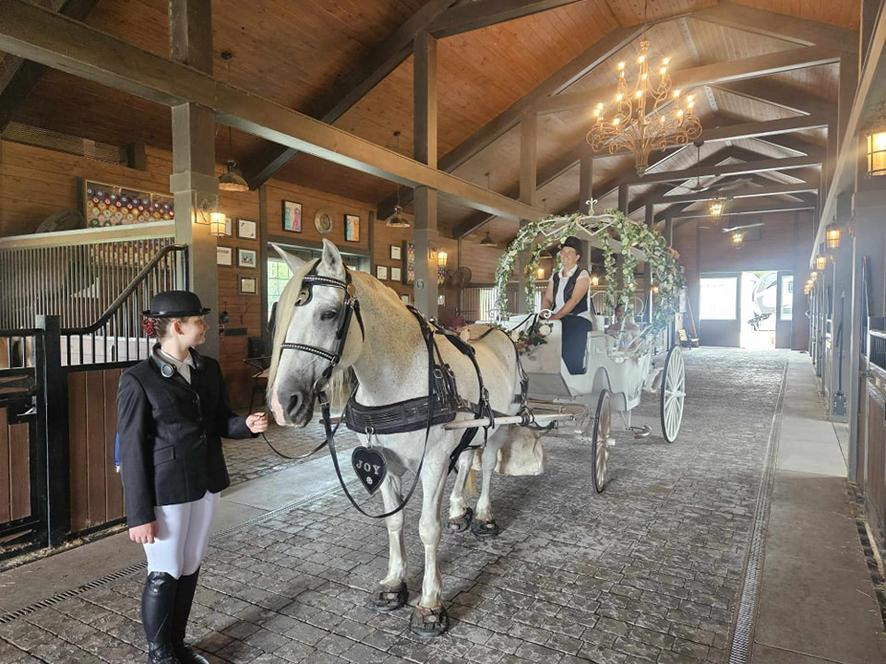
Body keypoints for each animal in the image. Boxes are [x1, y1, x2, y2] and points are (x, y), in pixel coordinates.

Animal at [268, 240, 524, 640]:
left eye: (329, 314)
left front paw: (430, 605)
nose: (283, 404)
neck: (402, 377)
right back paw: (458, 511)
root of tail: (497, 333)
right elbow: (394, 523)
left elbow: (427, 529)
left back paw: (482, 516)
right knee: (468, 458)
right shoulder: (384, 463)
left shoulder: (434, 461)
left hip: (498, 426)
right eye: (280, 315)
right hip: (471, 429)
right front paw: (394, 584)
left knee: (487, 469)